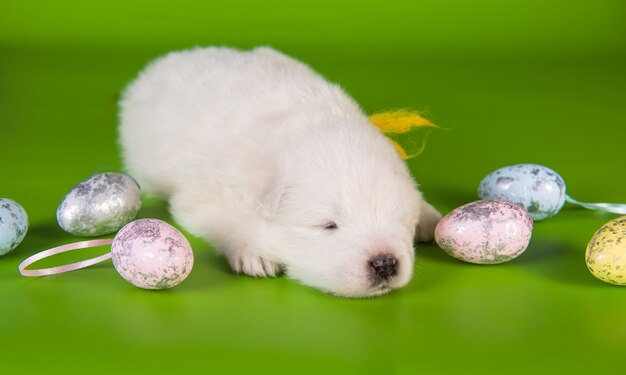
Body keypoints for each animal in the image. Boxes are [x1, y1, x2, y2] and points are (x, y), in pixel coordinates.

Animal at [117, 47, 438, 298]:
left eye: (400, 220)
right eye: (328, 225)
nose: (385, 263)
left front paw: (430, 217)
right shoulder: (200, 199)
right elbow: (223, 222)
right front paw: (254, 254)